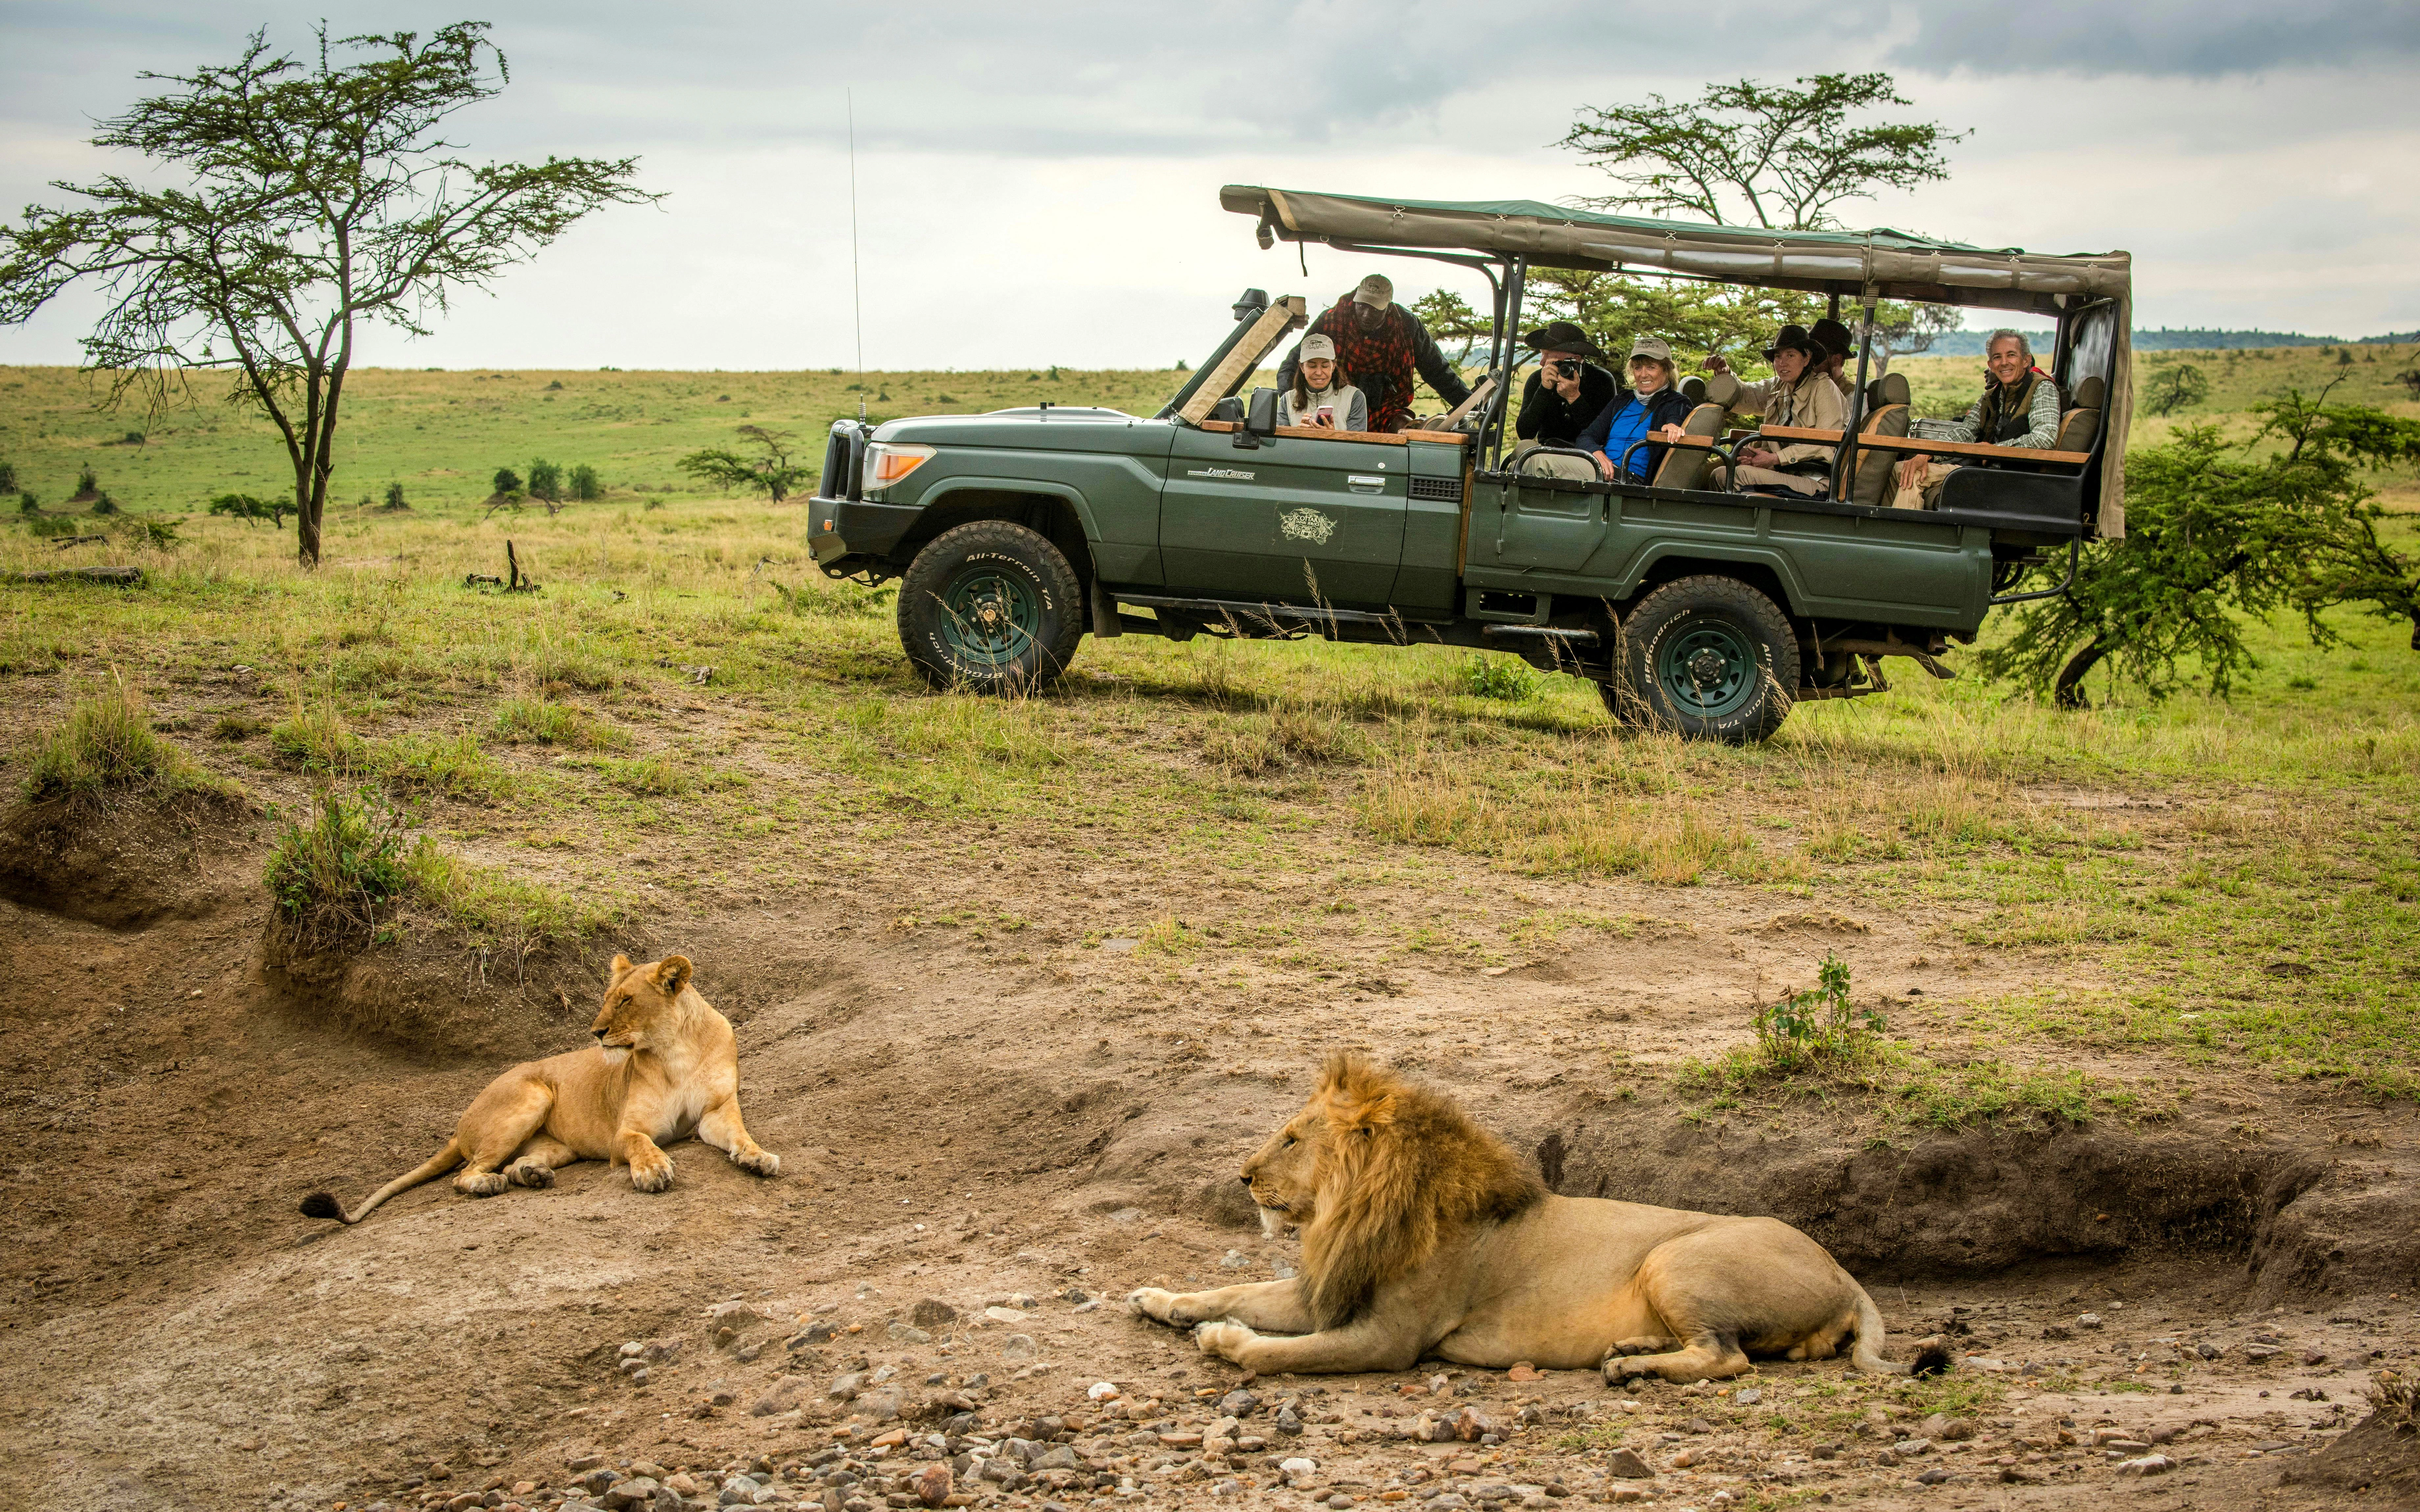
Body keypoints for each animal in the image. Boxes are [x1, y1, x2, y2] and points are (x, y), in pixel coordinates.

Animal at [300, 954, 779, 1224]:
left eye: (626, 1000)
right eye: (606, 998)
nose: (596, 1032)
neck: (675, 1047)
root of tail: (460, 1124)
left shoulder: (716, 1111)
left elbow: (740, 1134)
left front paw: (758, 1158)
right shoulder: (625, 1132)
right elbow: (641, 1145)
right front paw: (653, 1170)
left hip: (556, 1143)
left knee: (512, 1162)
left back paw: (532, 1175)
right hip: (534, 1094)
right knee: (465, 1174)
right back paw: (489, 1185)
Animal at [1131, 1055, 1939, 1383]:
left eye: (1293, 1139)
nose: (1241, 1177)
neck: (1353, 1212)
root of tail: (1844, 1271)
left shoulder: (1390, 1338)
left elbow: (1274, 1351)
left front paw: (1221, 1340)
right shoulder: (1327, 1291)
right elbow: (1230, 1289)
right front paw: (1159, 1299)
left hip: (1676, 1258)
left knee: (1726, 1357)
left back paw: (1629, 1368)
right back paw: (1631, 1346)